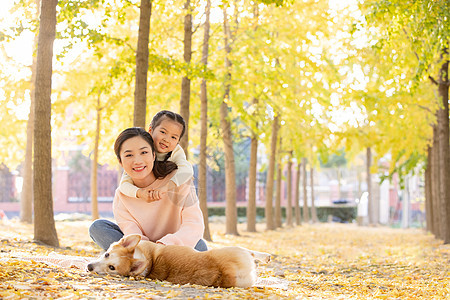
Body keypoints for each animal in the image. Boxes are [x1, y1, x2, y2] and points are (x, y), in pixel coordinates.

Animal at [88, 234, 270, 288]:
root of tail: (225, 271)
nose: (89, 267)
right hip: (236, 249)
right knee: (251, 253)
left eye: (111, 266)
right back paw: (264, 257)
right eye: (107, 255)